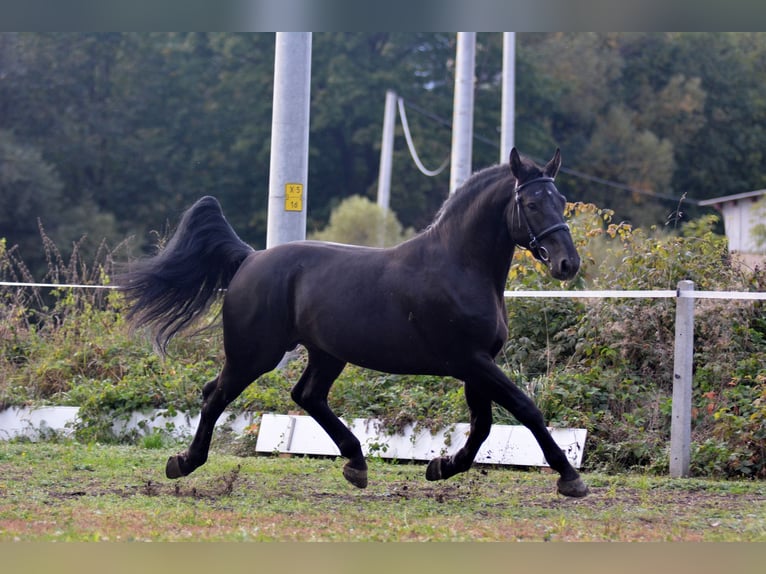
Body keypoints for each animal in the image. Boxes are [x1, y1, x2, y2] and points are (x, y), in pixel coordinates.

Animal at [118, 148, 588, 500]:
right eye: (531, 203)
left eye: (561, 200)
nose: (568, 264)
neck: (459, 266)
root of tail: (250, 258)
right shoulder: (470, 361)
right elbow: (525, 408)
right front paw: (570, 478)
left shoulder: (478, 364)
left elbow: (483, 425)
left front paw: (440, 467)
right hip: (254, 354)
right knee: (216, 396)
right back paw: (183, 463)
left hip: (326, 354)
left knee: (305, 395)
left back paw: (356, 464)